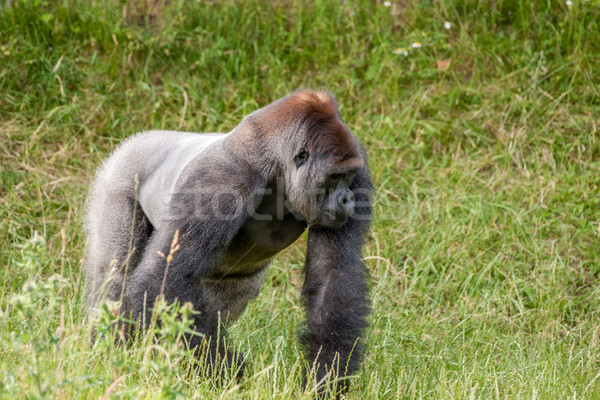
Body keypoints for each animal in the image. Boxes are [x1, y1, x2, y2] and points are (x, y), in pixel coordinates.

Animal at [84, 89, 372, 396]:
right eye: (334, 177)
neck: (274, 161)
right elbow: (164, 277)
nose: (348, 199)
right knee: (115, 275)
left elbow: (333, 277)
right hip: (117, 176)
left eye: (349, 176)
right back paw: (108, 352)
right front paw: (227, 372)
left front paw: (326, 376)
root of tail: (137, 139)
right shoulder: (218, 182)